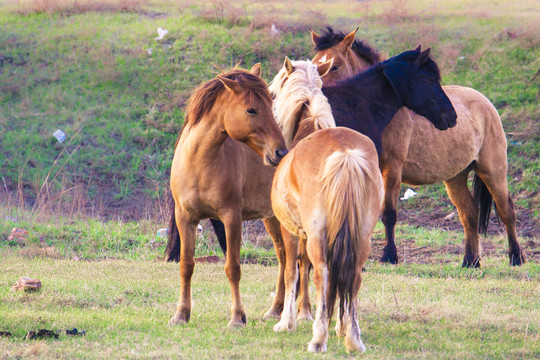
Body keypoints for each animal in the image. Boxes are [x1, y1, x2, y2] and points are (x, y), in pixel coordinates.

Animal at [167, 63, 288, 328]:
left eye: (271, 106)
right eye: (251, 109)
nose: (280, 152)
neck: (199, 163)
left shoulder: (231, 218)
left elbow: (233, 268)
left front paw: (237, 318)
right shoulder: (185, 218)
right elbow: (186, 265)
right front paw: (181, 314)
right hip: (272, 219)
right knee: (286, 258)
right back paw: (276, 310)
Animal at [270, 57, 384, 352]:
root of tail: (345, 155)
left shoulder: (292, 231)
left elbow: (292, 273)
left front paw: (286, 322)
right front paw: (339, 325)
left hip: (317, 237)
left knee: (321, 273)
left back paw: (318, 338)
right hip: (361, 236)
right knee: (353, 275)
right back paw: (353, 338)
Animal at [310, 27, 524, 268]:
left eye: (334, 66)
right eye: (314, 62)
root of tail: (485, 102)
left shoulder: (392, 169)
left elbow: (388, 213)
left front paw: (389, 256)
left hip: (493, 171)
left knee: (507, 211)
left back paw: (516, 257)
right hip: (456, 178)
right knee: (469, 214)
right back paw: (471, 261)